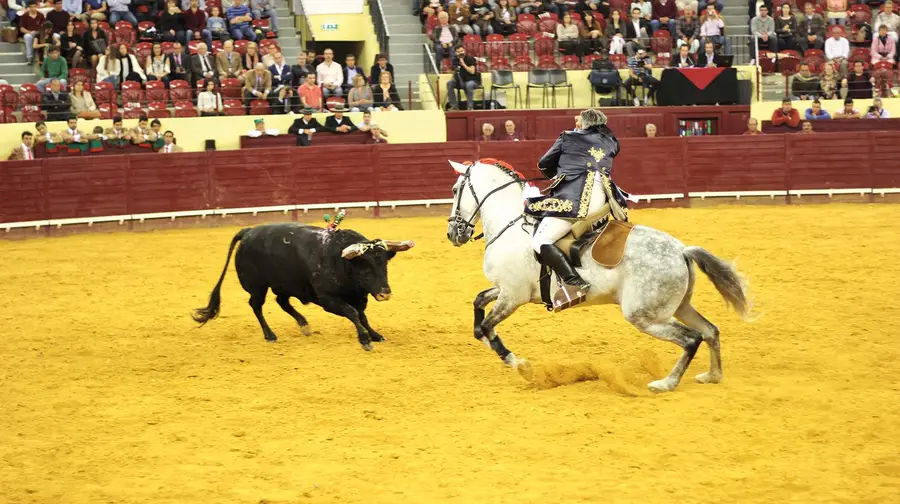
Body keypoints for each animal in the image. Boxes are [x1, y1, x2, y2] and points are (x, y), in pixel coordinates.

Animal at [192, 224, 414, 350]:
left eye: (384, 266)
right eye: (366, 269)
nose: (385, 293)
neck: (340, 261)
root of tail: (248, 232)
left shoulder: (359, 297)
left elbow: (361, 316)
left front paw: (375, 335)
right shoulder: (328, 299)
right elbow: (352, 313)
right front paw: (365, 339)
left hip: (284, 284)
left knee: (281, 302)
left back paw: (304, 324)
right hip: (257, 286)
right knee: (256, 305)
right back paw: (270, 335)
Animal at [446, 159, 748, 392]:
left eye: (454, 189)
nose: (452, 234)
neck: (510, 226)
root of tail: (682, 250)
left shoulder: (513, 295)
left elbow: (487, 325)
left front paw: (520, 365)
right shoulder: (506, 289)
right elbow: (478, 306)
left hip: (644, 315)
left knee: (692, 338)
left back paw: (666, 383)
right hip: (677, 307)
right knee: (710, 331)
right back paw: (712, 376)